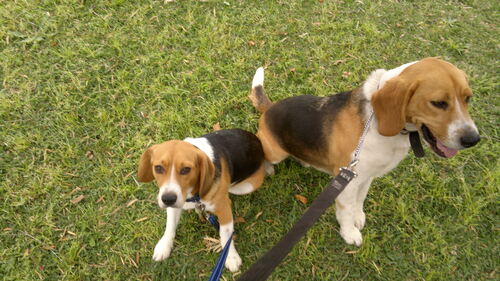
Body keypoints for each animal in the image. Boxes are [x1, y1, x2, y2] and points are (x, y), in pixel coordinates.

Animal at [137, 128, 268, 270]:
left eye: (186, 169)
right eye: (158, 168)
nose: (168, 199)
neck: (192, 196)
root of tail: (256, 139)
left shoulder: (224, 210)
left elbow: (225, 234)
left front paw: (231, 257)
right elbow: (170, 225)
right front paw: (164, 246)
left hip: (246, 186)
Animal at [250, 57, 480, 245]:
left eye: (468, 98)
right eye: (438, 103)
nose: (473, 139)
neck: (376, 121)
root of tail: (270, 107)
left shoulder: (365, 175)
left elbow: (360, 199)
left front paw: (358, 216)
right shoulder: (348, 179)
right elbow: (345, 210)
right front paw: (349, 233)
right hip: (275, 151)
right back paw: (267, 167)